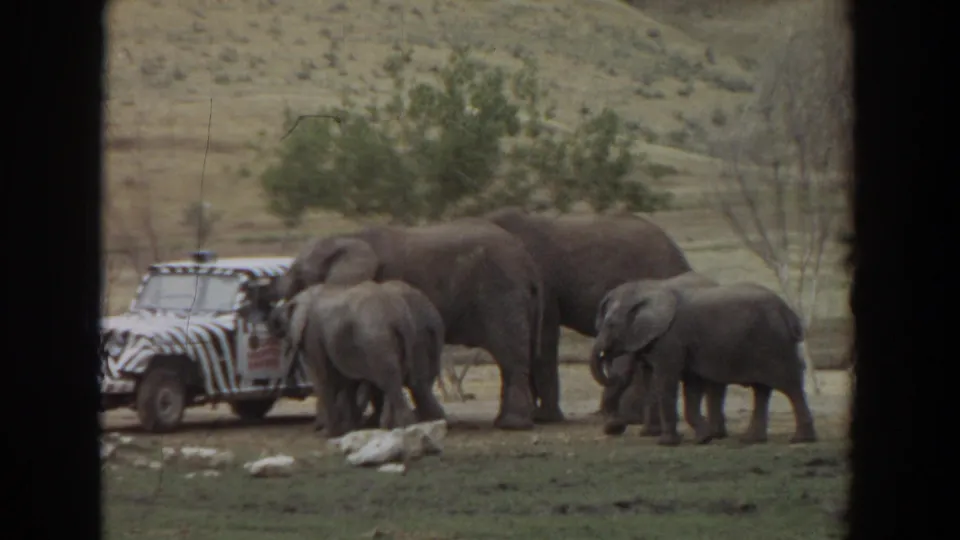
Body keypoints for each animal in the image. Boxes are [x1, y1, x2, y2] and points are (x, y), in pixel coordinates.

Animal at [268, 281, 447, 437]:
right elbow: (348, 382)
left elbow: (324, 379)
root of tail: (399, 320)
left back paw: (404, 425)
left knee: (392, 381)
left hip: (377, 342)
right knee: (408, 381)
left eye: (281, 321)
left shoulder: (312, 334)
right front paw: (349, 429)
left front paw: (330, 434)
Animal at [591, 278, 817, 446]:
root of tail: (788, 312)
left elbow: (666, 381)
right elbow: (689, 385)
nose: (606, 357)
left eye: (611, 325)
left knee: (790, 386)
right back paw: (751, 440)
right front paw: (704, 438)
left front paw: (667, 443)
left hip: (774, 344)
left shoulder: (671, 339)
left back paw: (800, 439)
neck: (645, 289)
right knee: (761, 390)